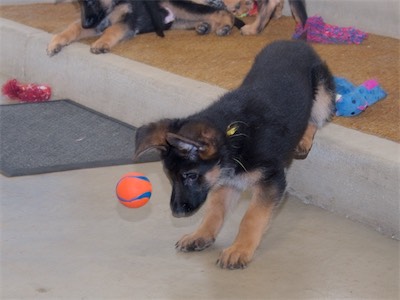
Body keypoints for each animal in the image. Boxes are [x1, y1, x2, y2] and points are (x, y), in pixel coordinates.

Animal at [47, 0, 241, 56]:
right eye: (79, 2)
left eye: (91, 1)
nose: (86, 24)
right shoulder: (98, 23)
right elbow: (73, 27)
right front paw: (56, 42)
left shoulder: (127, 22)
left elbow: (112, 30)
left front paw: (101, 43)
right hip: (176, 18)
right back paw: (203, 27)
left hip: (180, 6)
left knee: (219, 11)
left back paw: (225, 25)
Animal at [134, 40, 334, 270]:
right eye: (170, 178)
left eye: (191, 176)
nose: (177, 213)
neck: (233, 135)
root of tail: (294, 41)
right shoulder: (228, 181)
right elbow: (215, 210)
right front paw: (200, 235)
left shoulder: (271, 180)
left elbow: (252, 217)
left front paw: (240, 250)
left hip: (323, 92)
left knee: (315, 118)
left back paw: (304, 139)